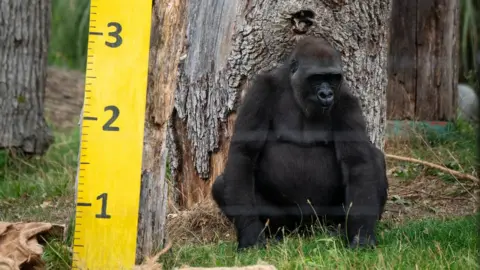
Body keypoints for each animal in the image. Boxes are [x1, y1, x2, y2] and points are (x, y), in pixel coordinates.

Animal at [212, 35, 388, 251]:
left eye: (332, 78)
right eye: (316, 78)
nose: (326, 94)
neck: (294, 88)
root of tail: (307, 230)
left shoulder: (347, 100)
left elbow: (357, 162)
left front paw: (361, 235)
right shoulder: (260, 90)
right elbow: (244, 153)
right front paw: (250, 234)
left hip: (325, 219)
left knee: (375, 159)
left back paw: (338, 230)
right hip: (292, 223)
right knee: (222, 185)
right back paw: (275, 234)